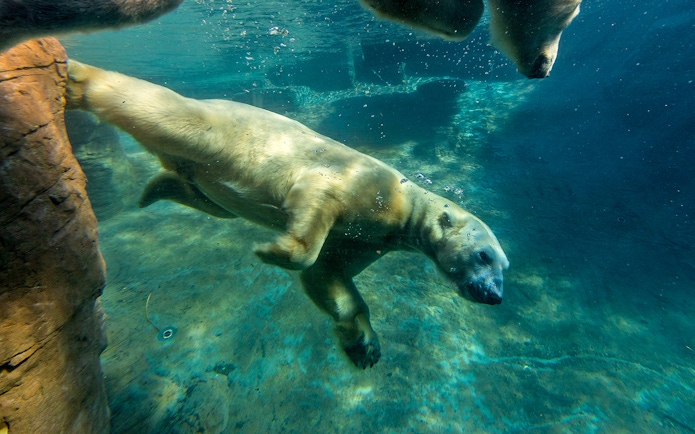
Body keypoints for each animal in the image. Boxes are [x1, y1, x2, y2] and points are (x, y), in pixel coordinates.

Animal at [65, 60, 509, 369]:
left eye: (504, 265)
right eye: (484, 255)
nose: (495, 295)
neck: (402, 204)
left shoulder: (367, 240)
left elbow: (329, 277)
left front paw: (365, 346)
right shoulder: (357, 185)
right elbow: (313, 214)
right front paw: (273, 251)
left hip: (206, 181)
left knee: (206, 197)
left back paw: (153, 190)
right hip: (218, 127)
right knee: (164, 112)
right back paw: (75, 77)